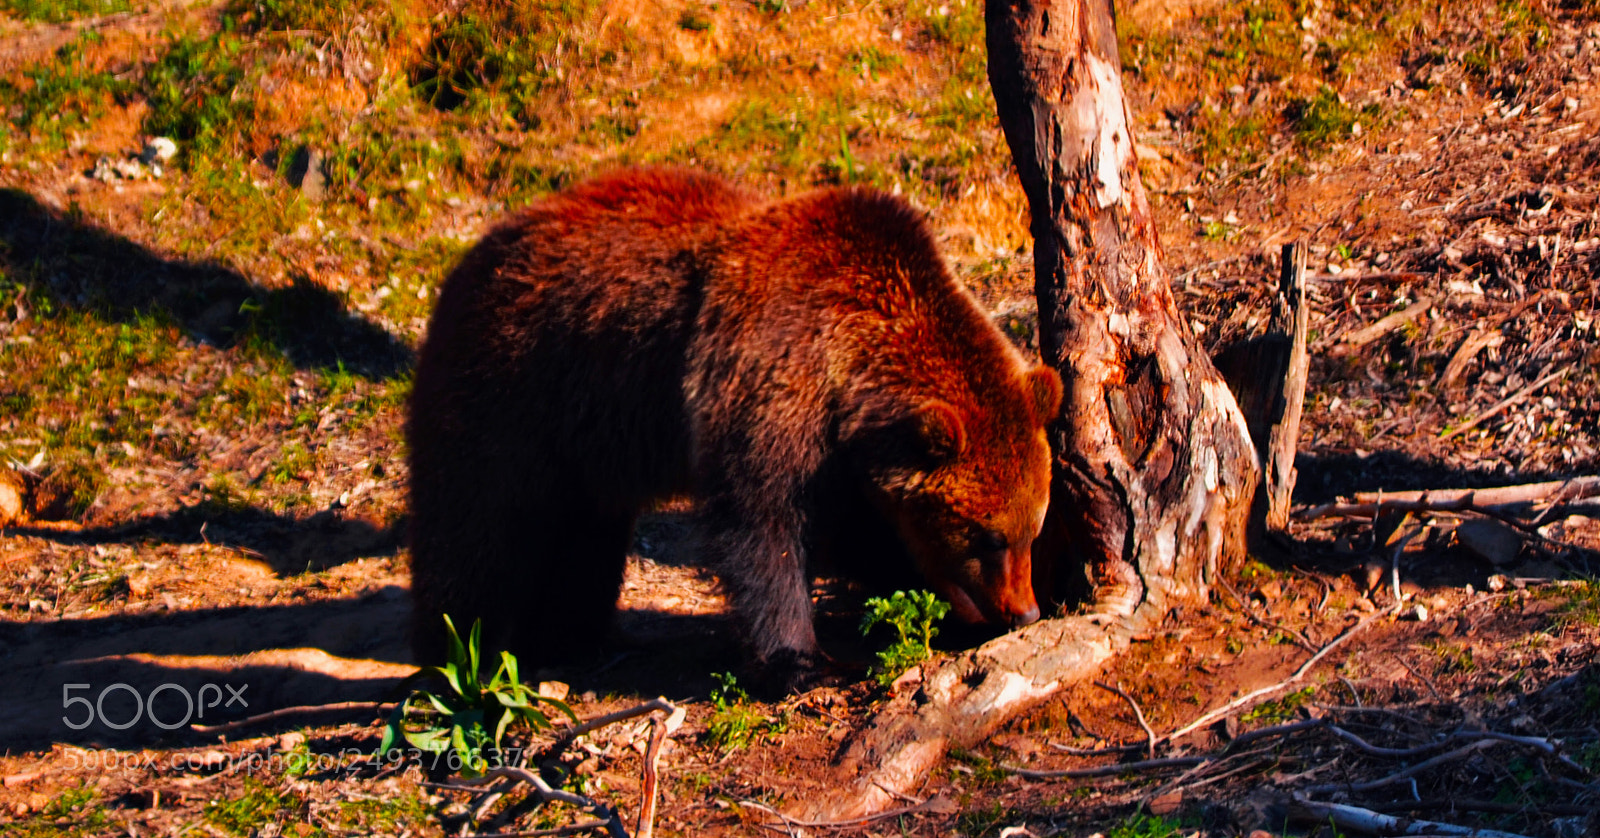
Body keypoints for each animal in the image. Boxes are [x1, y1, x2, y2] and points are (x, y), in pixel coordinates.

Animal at [406, 167, 1062, 690]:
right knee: (477, 530)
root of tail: (471, 255)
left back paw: (571, 633)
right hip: (512, 388)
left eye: (1033, 529)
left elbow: (859, 532)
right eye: (988, 536)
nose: (1024, 609)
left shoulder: (844, 448)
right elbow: (763, 527)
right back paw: (461, 655)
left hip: (586, 440)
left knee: (583, 538)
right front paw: (802, 662)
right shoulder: (771, 386)